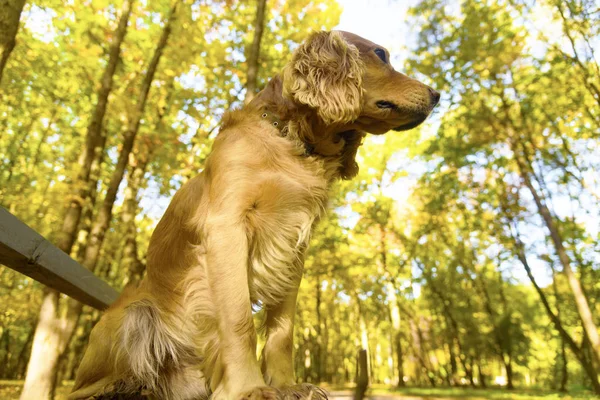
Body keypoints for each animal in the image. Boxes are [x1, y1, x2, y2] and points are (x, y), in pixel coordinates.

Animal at [68, 31, 438, 400]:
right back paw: (121, 389)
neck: (290, 142)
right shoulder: (227, 227)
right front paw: (249, 388)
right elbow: (239, 320)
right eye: (380, 54)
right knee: (84, 387)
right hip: (134, 314)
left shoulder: (294, 247)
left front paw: (287, 385)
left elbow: (282, 331)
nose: (437, 94)